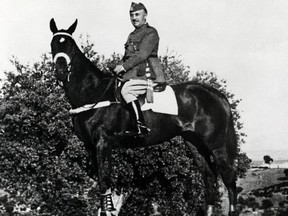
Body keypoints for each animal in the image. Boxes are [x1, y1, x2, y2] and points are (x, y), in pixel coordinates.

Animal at [49, 19, 238, 216]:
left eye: (70, 46)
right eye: (53, 45)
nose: (61, 72)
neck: (93, 92)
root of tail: (216, 95)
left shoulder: (103, 143)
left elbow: (104, 182)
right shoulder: (90, 147)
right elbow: (102, 184)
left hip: (216, 145)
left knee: (229, 177)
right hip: (194, 143)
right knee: (209, 177)